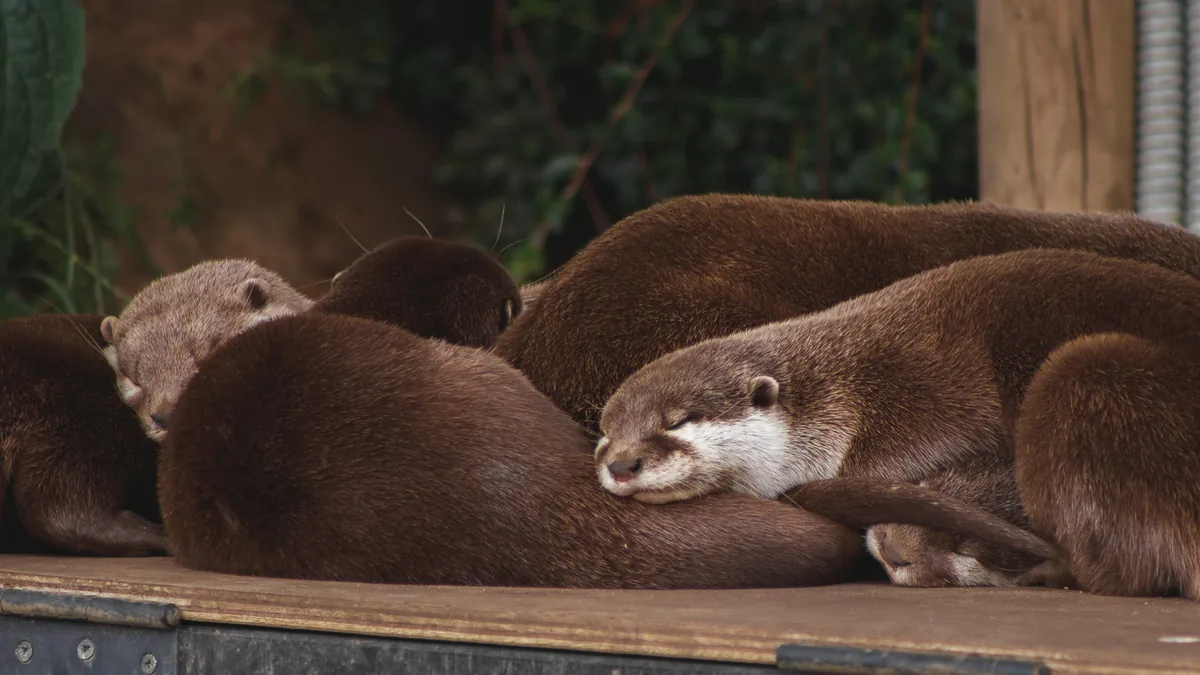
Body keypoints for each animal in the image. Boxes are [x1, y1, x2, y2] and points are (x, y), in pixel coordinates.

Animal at [593, 249, 1200, 597]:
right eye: (605, 431)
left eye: (679, 420)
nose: (622, 463)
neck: (838, 388)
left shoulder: (924, 387)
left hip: (1086, 369)